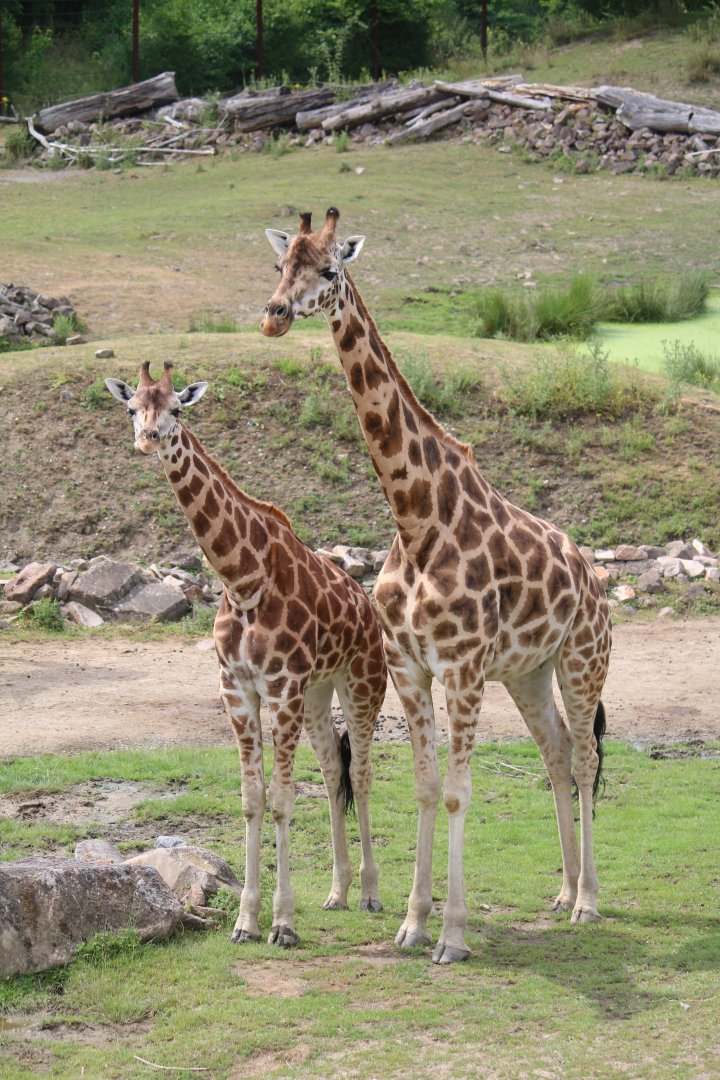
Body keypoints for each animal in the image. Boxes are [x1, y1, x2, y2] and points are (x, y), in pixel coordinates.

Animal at [105, 361, 386, 947]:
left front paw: (282, 924)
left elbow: (281, 800)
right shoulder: (237, 689)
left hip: (362, 684)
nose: (148, 439)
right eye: (132, 407)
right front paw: (245, 921)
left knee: (364, 773)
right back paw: (338, 893)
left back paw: (371, 893)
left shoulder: (280, 687)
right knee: (334, 770)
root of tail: (368, 607)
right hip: (317, 693)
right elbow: (253, 799)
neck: (242, 580)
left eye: (177, 408)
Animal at [259, 208, 612, 964]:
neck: (416, 516)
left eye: (328, 268)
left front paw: (451, 934)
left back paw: (590, 902)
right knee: (557, 754)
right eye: (278, 265)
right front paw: (413, 924)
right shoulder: (411, 666)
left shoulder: (462, 667)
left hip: (581, 660)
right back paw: (563, 890)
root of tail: (597, 581)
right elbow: (423, 788)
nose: (275, 315)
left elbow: (455, 792)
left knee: (587, 755)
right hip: (529, 672)